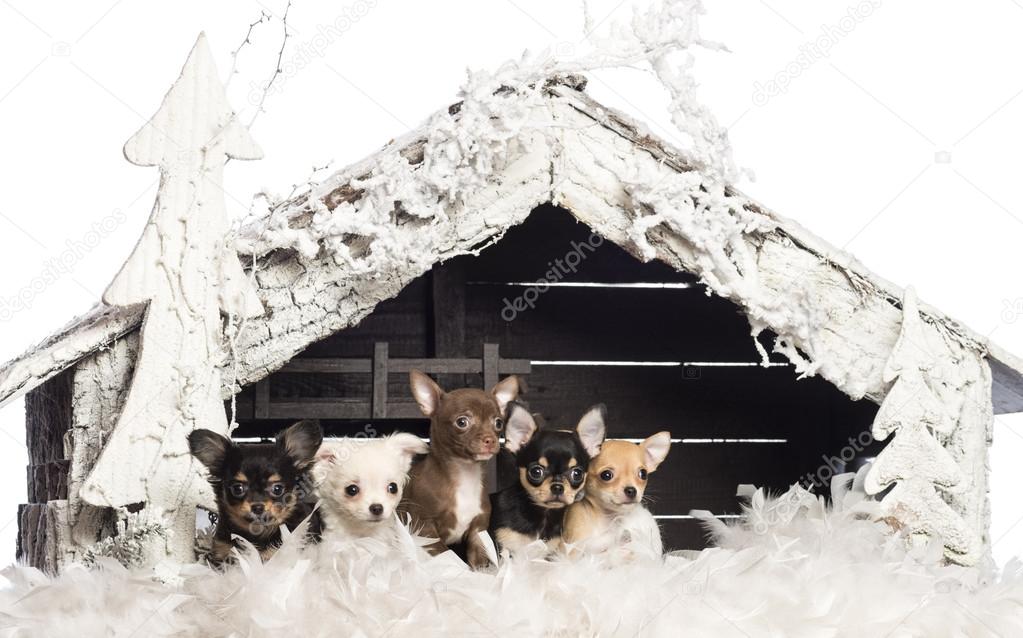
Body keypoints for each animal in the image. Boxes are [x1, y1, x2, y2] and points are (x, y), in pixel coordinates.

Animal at [394, 368, 515, 568]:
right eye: (462, 422)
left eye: (498, 423)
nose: (490, 439)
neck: (465, 475)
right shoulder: (425, 529)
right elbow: (449, 556)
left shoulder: (478, 530)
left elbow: (480, 559)